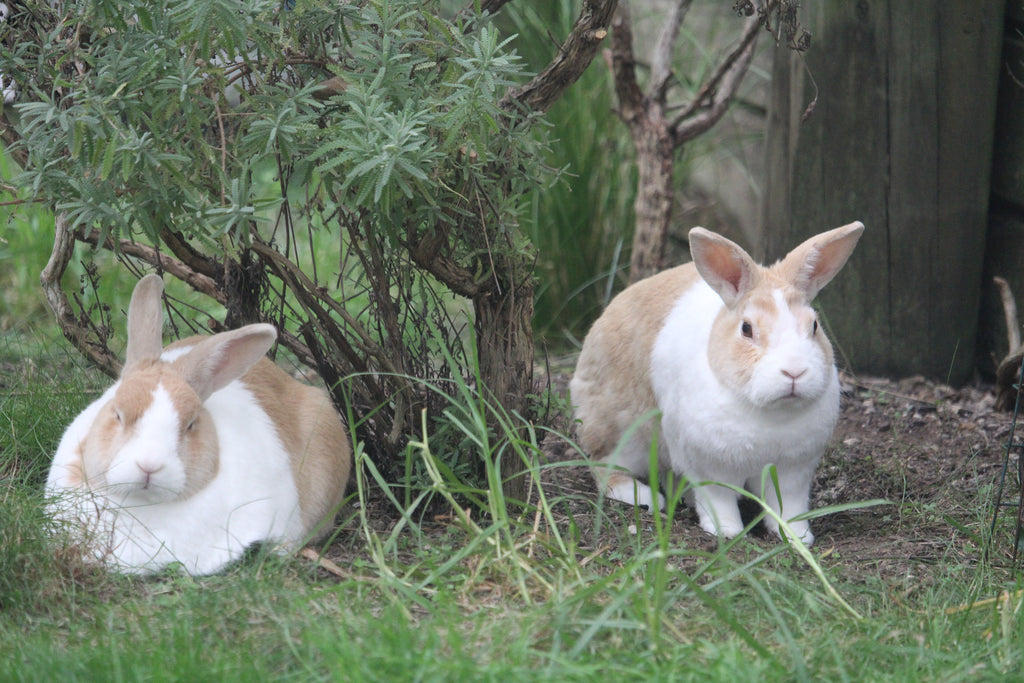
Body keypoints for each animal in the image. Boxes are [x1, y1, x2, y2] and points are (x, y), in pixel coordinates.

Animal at [570, 222, 864, 546]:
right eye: (746, 329)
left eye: (814, 326)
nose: (794, 371)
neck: (771, 411)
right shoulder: (711, 468)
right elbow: (719, 500)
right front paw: (727, 531)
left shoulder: (793, 473)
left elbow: (787, 506)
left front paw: (798, 536)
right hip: (623, 434)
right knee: (604, 467)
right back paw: (644, 497)